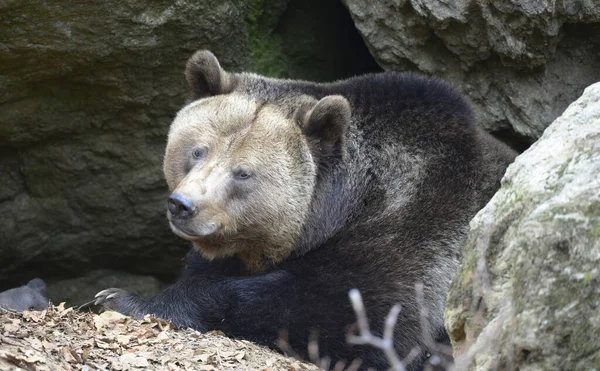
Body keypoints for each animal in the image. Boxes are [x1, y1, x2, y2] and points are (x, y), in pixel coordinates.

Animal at [96, 50, 516, 371]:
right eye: (197, 150)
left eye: (243, 172)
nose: (183, 205)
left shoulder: (420, 230)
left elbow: (352, 313)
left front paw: (121, 297)